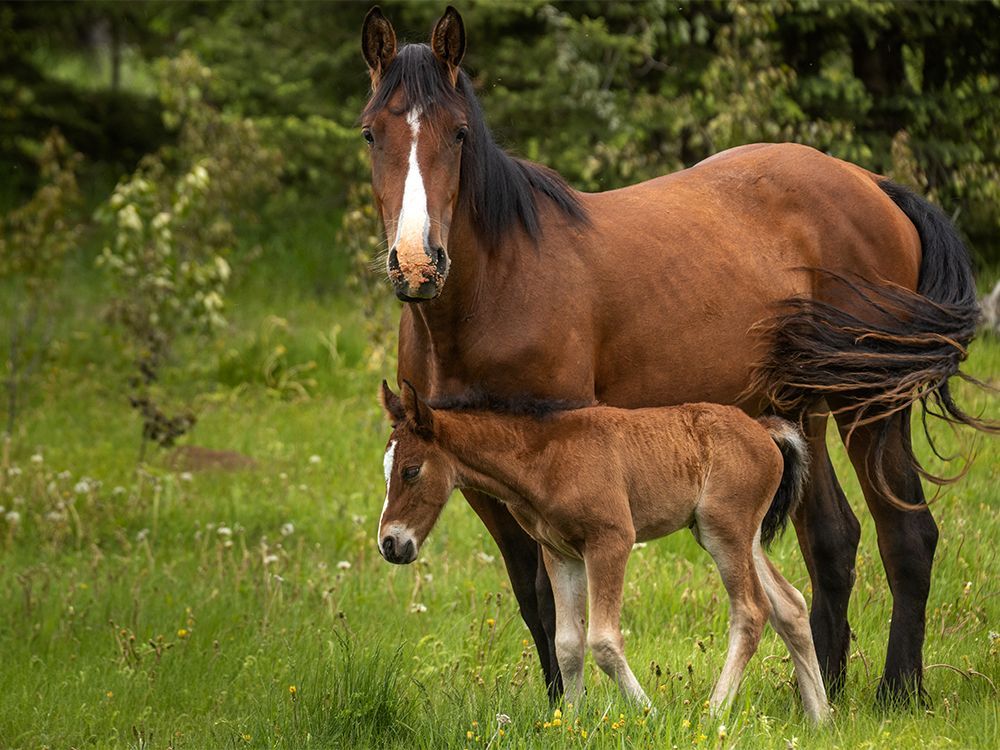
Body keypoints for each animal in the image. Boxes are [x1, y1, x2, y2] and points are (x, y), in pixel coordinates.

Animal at [376, 384, 828, 724]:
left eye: (411, 470)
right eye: (386, 470)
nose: (390, 544)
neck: (545, 458)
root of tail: (762, 429)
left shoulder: (611, 541)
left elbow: (603, 641)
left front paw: (651, 716)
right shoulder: (561, 554)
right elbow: (568, 644)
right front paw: (571, 723)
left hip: (725, 533)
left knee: (751, 610)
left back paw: (712, 714)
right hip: (733, 534)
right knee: (789, 604)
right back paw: (822, 717)